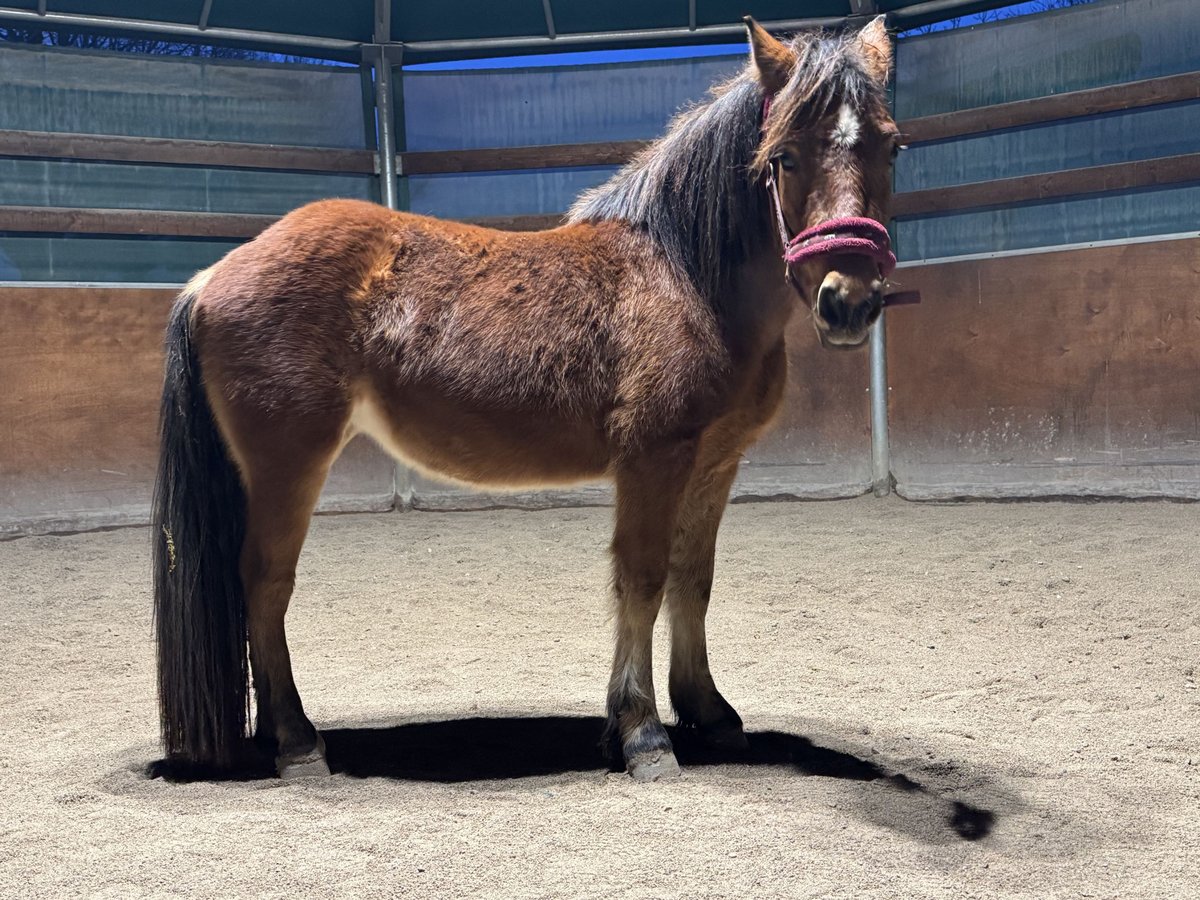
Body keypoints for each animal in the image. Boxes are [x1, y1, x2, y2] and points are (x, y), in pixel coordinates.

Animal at [152, 19, 902, 782]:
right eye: (782, 156)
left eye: (891, 144)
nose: (849, 299)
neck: (682, 276)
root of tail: (211, 277)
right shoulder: (652, 459)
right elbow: (642, 576)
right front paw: (643, 734)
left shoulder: (715, 461)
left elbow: (692, 579)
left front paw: (708, 712)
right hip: (289, 464)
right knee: (265, 583)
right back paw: (298, 742)